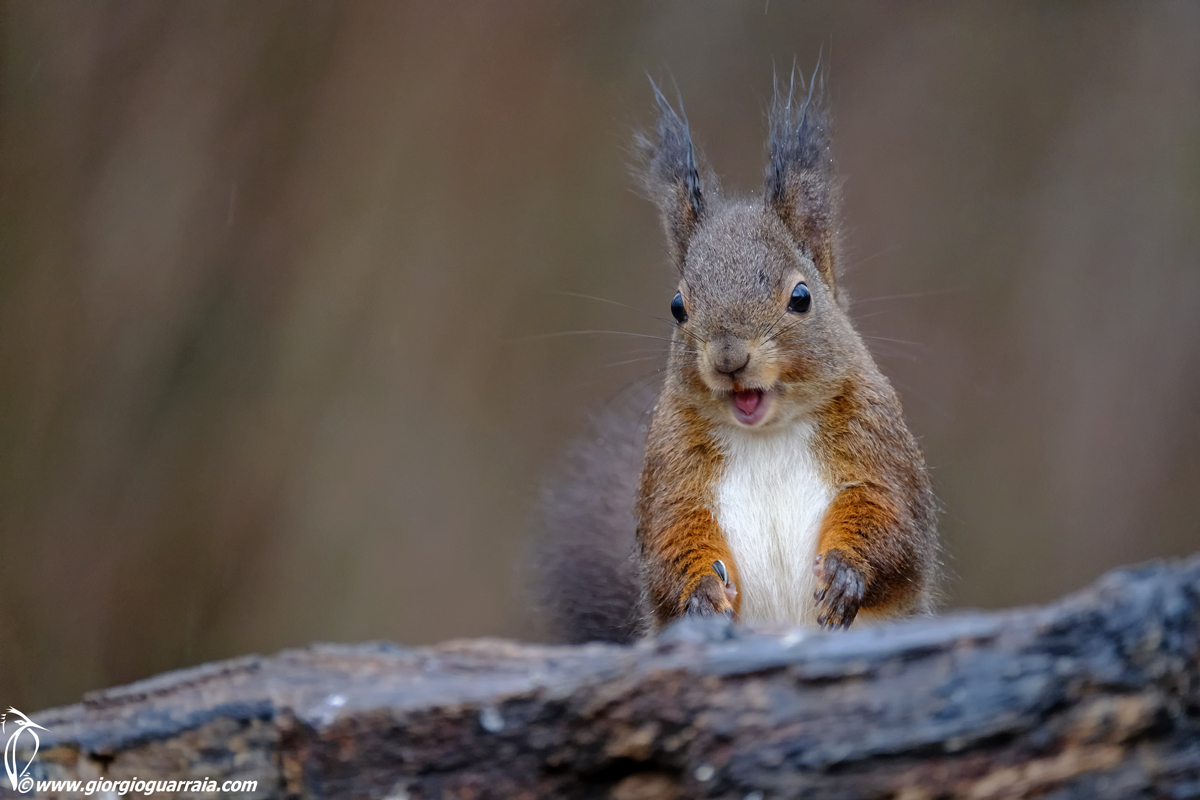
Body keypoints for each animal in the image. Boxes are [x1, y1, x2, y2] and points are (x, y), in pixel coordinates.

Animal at [532, 74, 938, 643]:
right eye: (677, 306)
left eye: (801, 297)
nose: (728, 357)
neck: (767, 433)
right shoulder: (670, 468)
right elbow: (672, 538)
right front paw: (701, 594)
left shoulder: (878, 441)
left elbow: (890, 517)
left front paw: (844, 575)